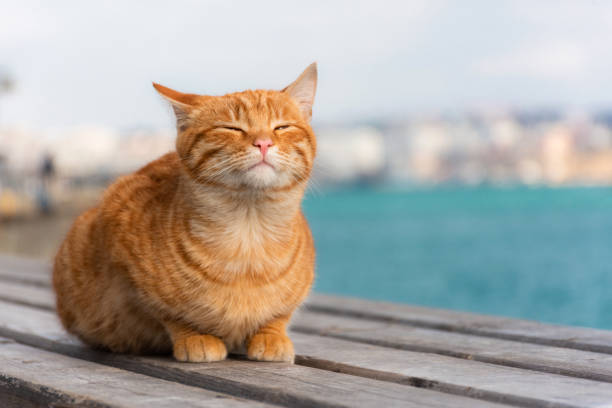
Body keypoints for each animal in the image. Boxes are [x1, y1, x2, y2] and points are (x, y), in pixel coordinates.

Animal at [52, 63, 318, 364]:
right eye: (231, 128)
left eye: (282, 127)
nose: (263, 143)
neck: (249, 233)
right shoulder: (121, 240)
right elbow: (170, 314)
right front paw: (195, 336)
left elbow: (279, 314)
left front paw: (272, 335)